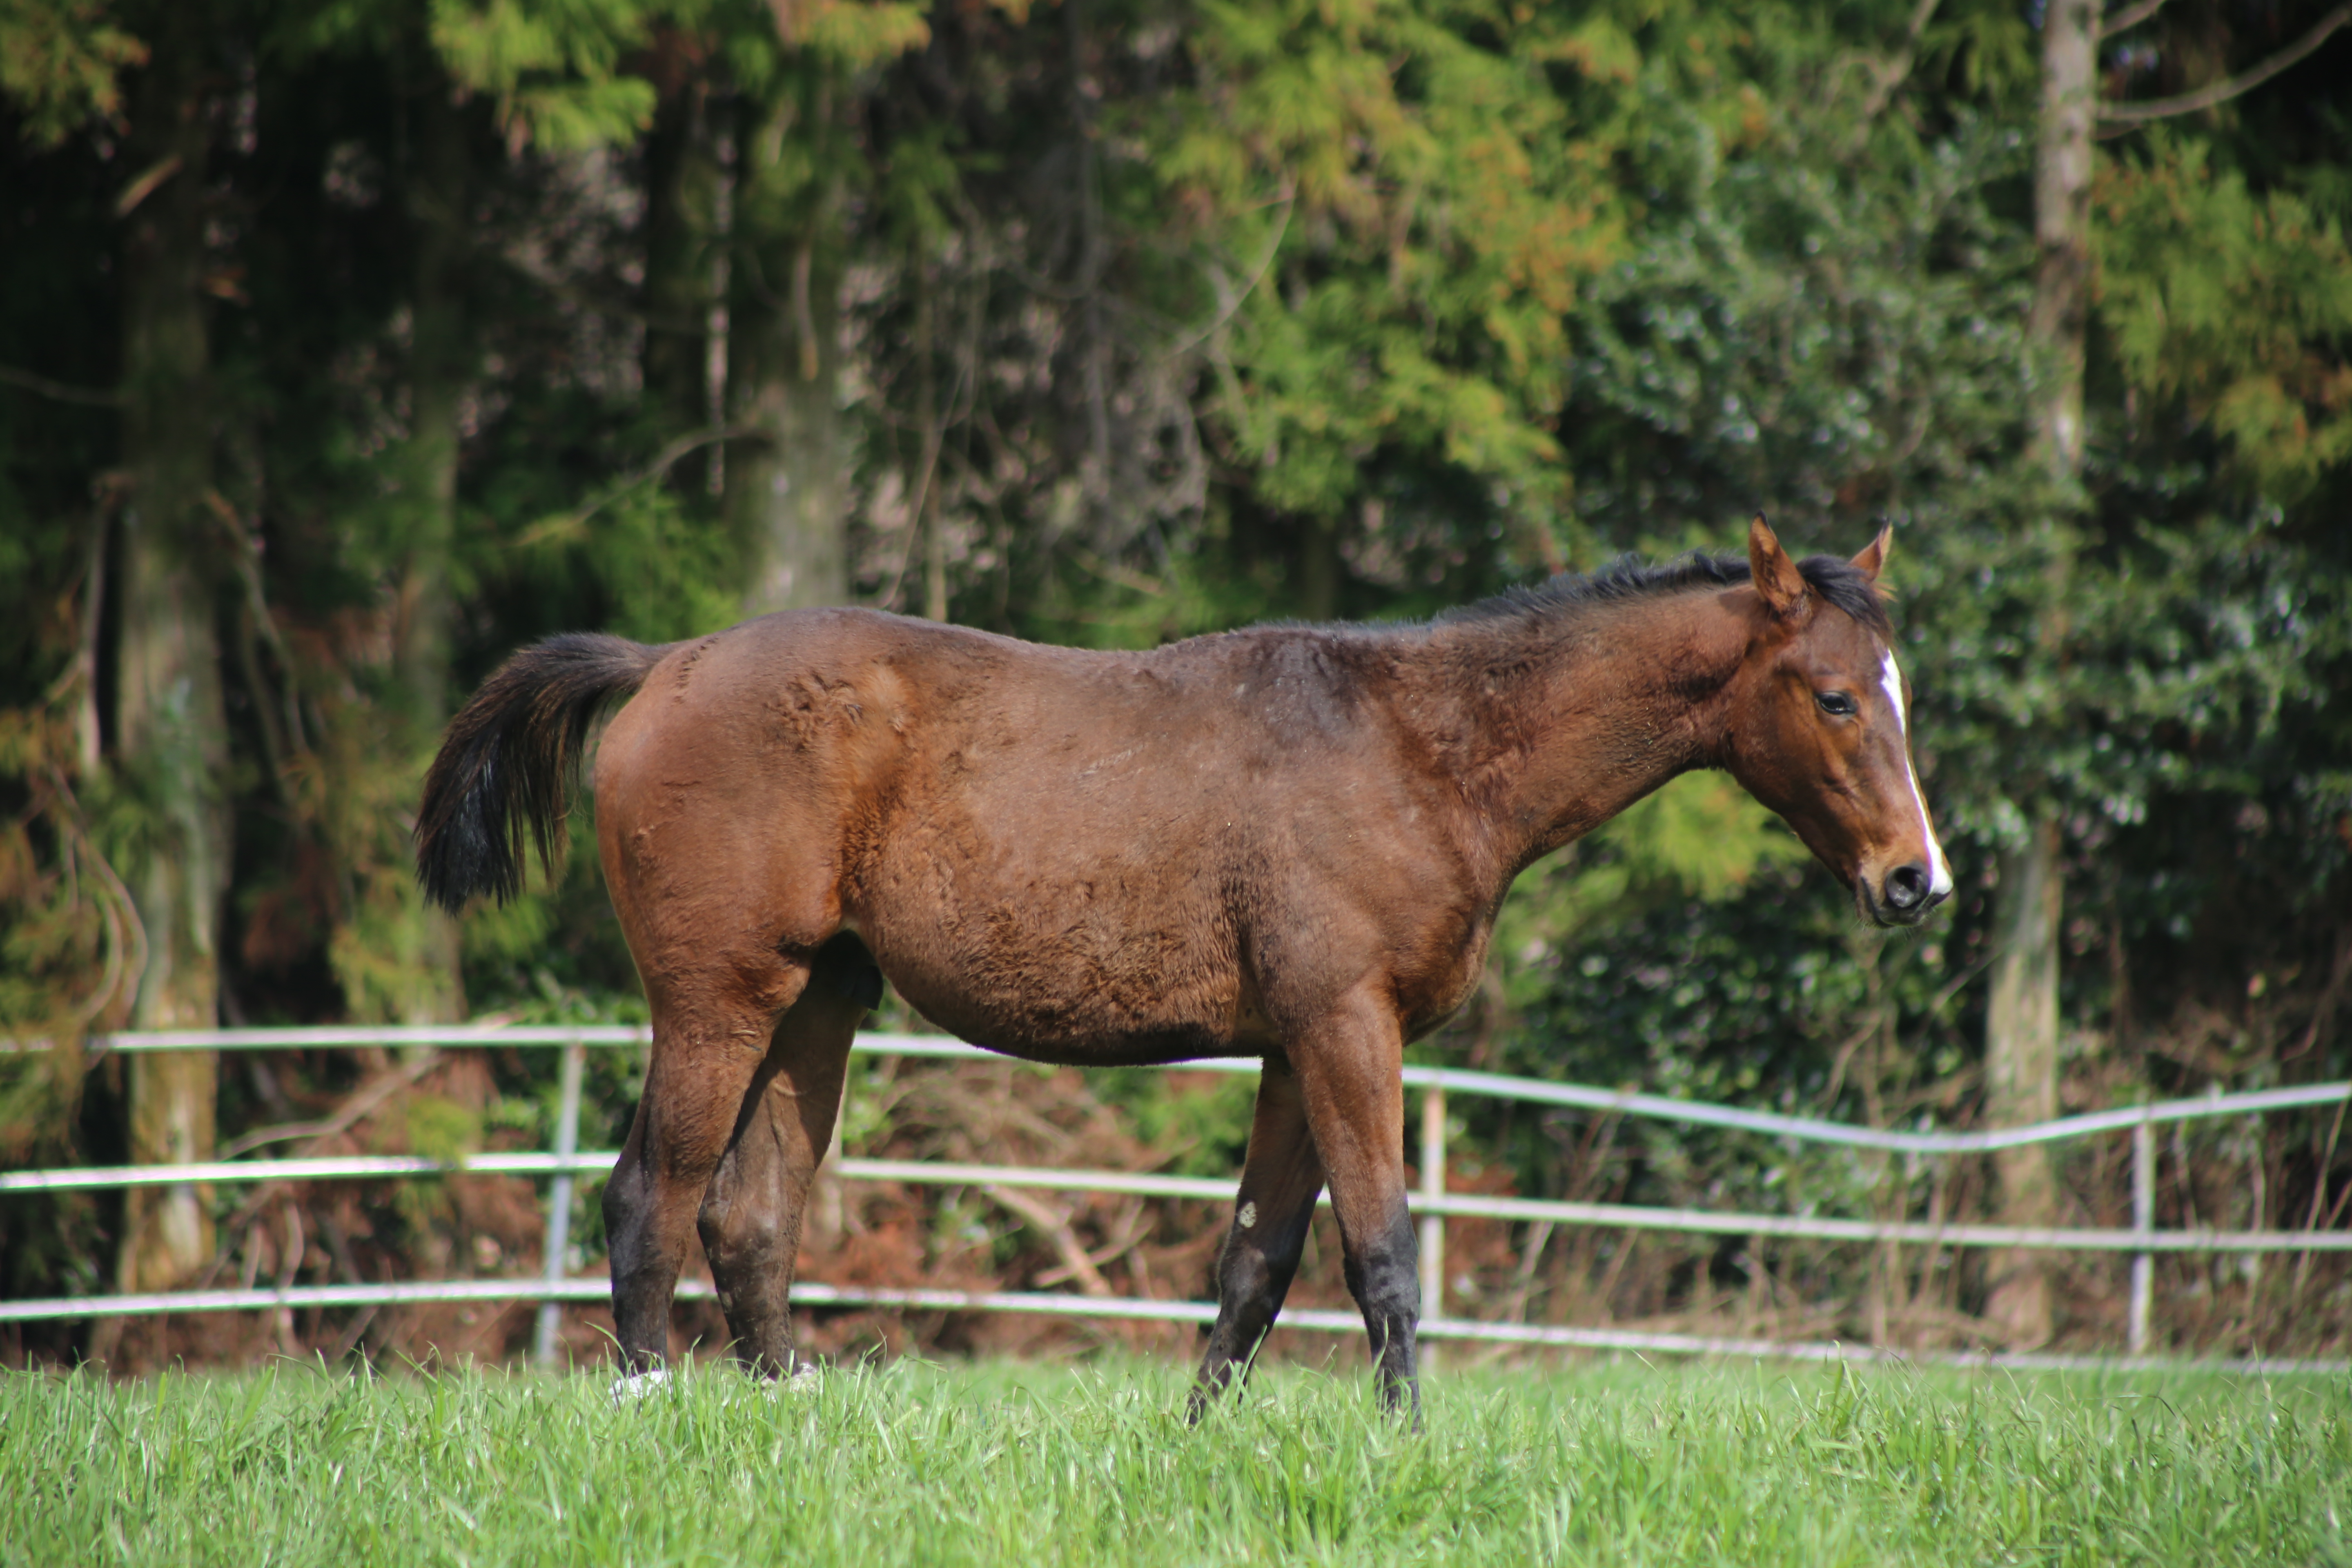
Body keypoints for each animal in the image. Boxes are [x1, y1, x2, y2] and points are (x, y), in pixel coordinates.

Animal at [419, 522, 1947, 1420]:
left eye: (1898, 687)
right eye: (1832, 694)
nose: (1915, 879)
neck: (1421, 747)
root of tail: (662, 661)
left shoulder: (1293, 1043)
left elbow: (1258, 1260)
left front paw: (1205, 1437)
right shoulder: (1347, 1026)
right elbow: (1381, 1247)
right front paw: (1408, 1439)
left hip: (822, 1001)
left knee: (748, 1212)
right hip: (720, 1000)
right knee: (650, 1194)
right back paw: (648, 1406)